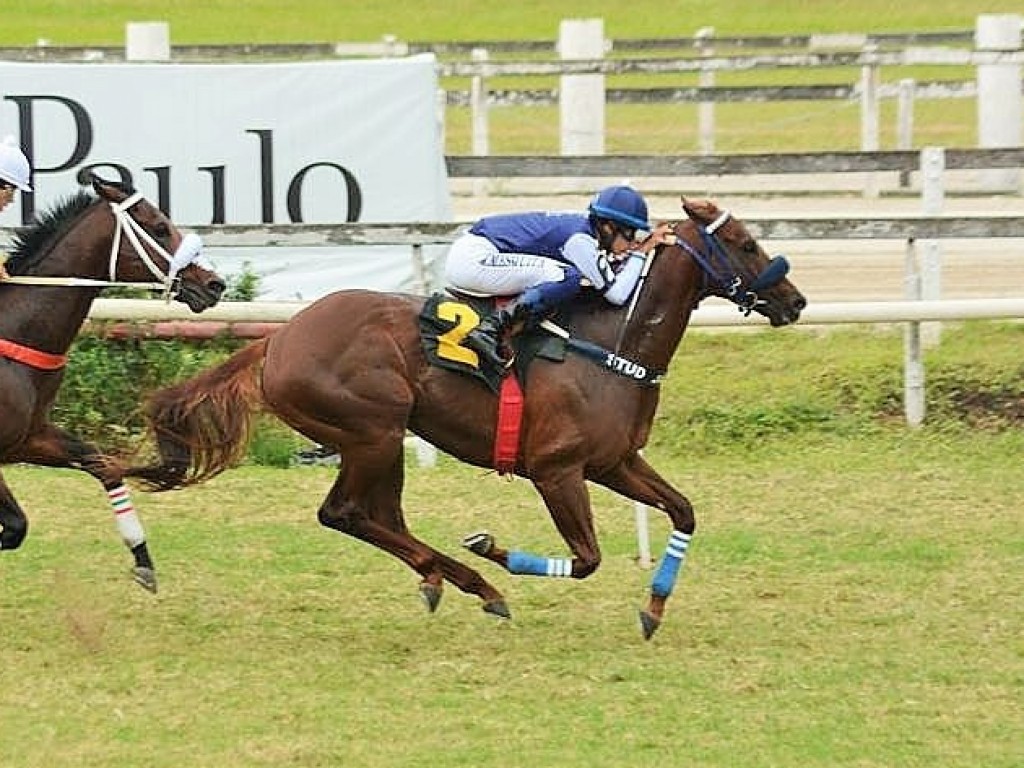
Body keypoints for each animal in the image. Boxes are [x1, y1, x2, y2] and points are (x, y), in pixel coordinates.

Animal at [0, 177, 225, 593]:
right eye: (159, 228)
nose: (214, 284)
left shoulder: (28, 437)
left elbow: (103, 465)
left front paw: (143, 560)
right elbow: (16, 525)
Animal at [128, 196, 802, 638]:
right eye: (746, 244)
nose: (795, 301)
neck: (612, 340)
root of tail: (278, 340)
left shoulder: (613, 462)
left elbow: (683, 511)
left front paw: (654, 608)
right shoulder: (556, 470)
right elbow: (586, 559)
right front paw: (492, 549)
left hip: (379, 439)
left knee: (378, 516)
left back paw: (443, 579)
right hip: (373, 429)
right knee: (344, 513)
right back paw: (477, 582)